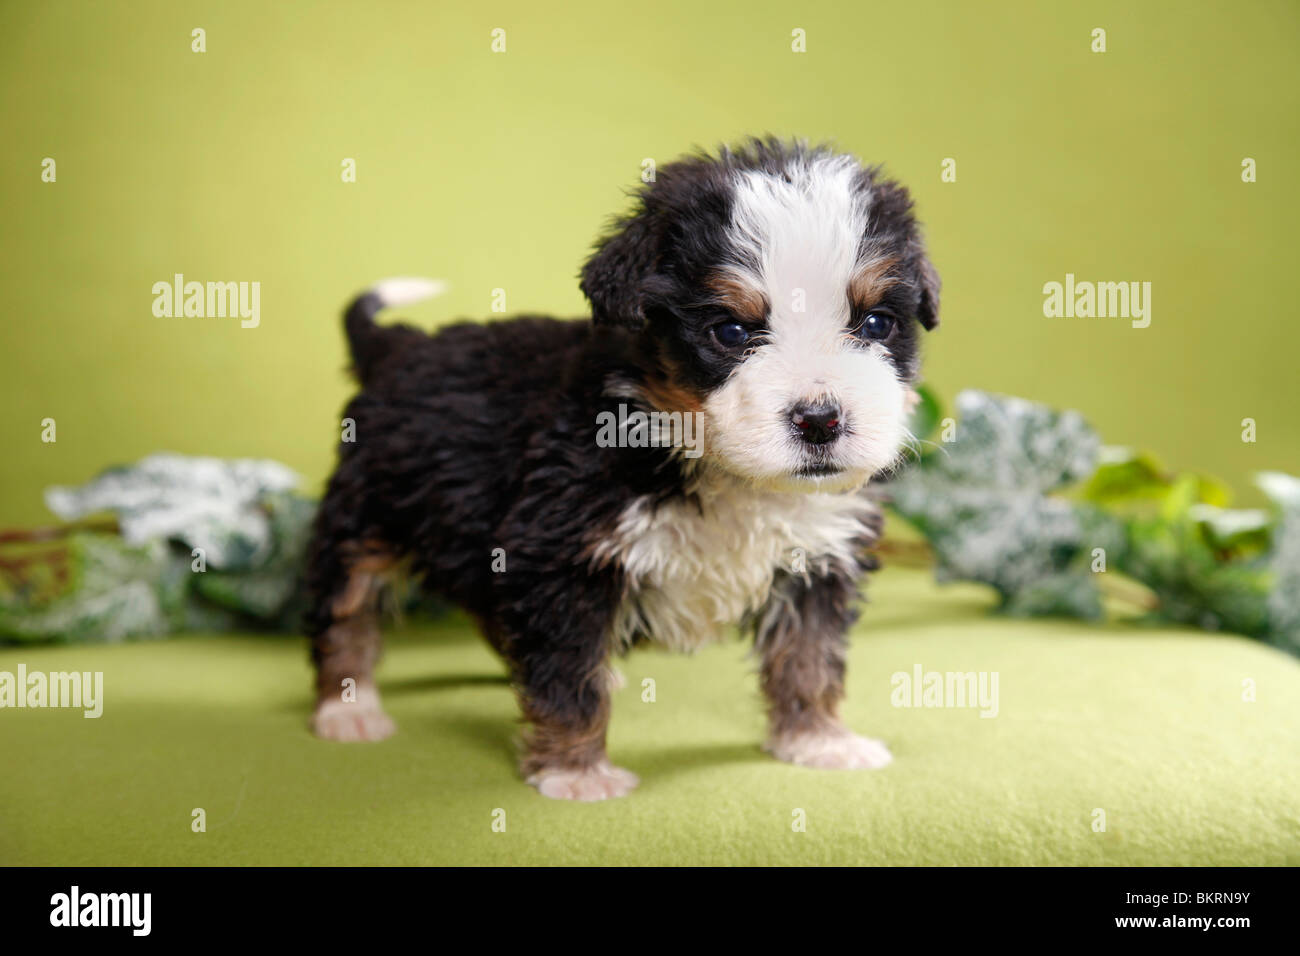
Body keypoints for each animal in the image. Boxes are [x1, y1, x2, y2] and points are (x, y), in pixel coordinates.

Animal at [304, 138, 941, 801]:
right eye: (731, 330)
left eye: (876, 323)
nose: (820, 420)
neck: (716, 466)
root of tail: (397, 346)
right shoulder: (562, 551)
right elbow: (572, 673)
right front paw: (575, 770)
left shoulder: (819, 555)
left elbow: (810, 655)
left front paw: (818, 741)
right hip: (365, 511)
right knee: (343, 606)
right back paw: (348, 709)